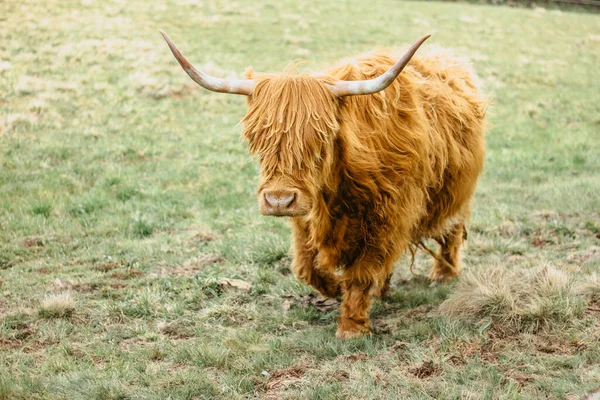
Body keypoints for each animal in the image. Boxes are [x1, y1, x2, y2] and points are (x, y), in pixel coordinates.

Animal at [161, 30, 488, 338]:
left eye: (319, 139)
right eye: (258, 139)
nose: (278, 200)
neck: (335, 190)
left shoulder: (388, 216)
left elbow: (361, 272)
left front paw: (352, 326)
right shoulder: (305, 218)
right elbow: (308, 268)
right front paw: (335, 288)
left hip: (458, 193)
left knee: (452, 228)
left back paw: (444, 273)